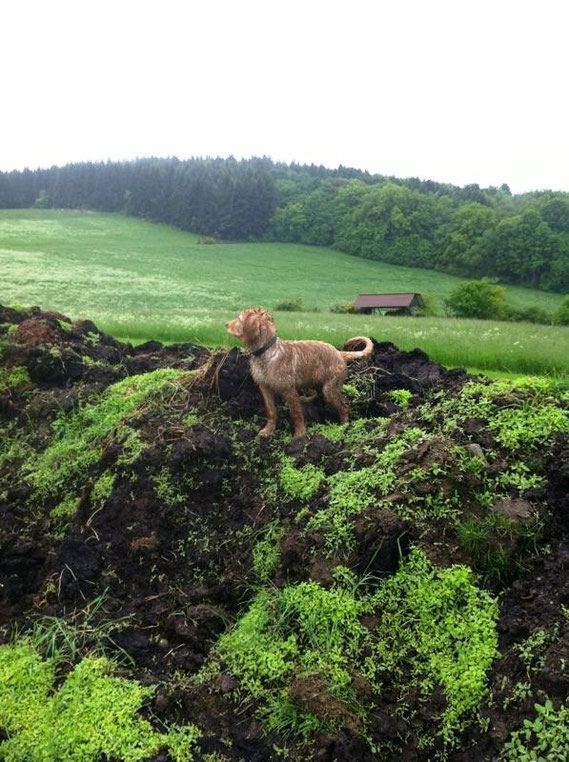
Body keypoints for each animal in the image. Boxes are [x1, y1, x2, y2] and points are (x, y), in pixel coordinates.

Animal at [226, 306, 372, 436]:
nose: (226, 324)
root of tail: (340, 353)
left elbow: (296, 413)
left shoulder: (288, 390)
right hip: (318, 382)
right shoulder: (264, 388)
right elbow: (271, 411)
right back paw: (307, 400)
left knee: (344, 408)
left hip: (330, 389)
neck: (267, 352)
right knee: (317, 394)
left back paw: (344, 427)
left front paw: (300, 433)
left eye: (239, 319)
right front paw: (268, 430)